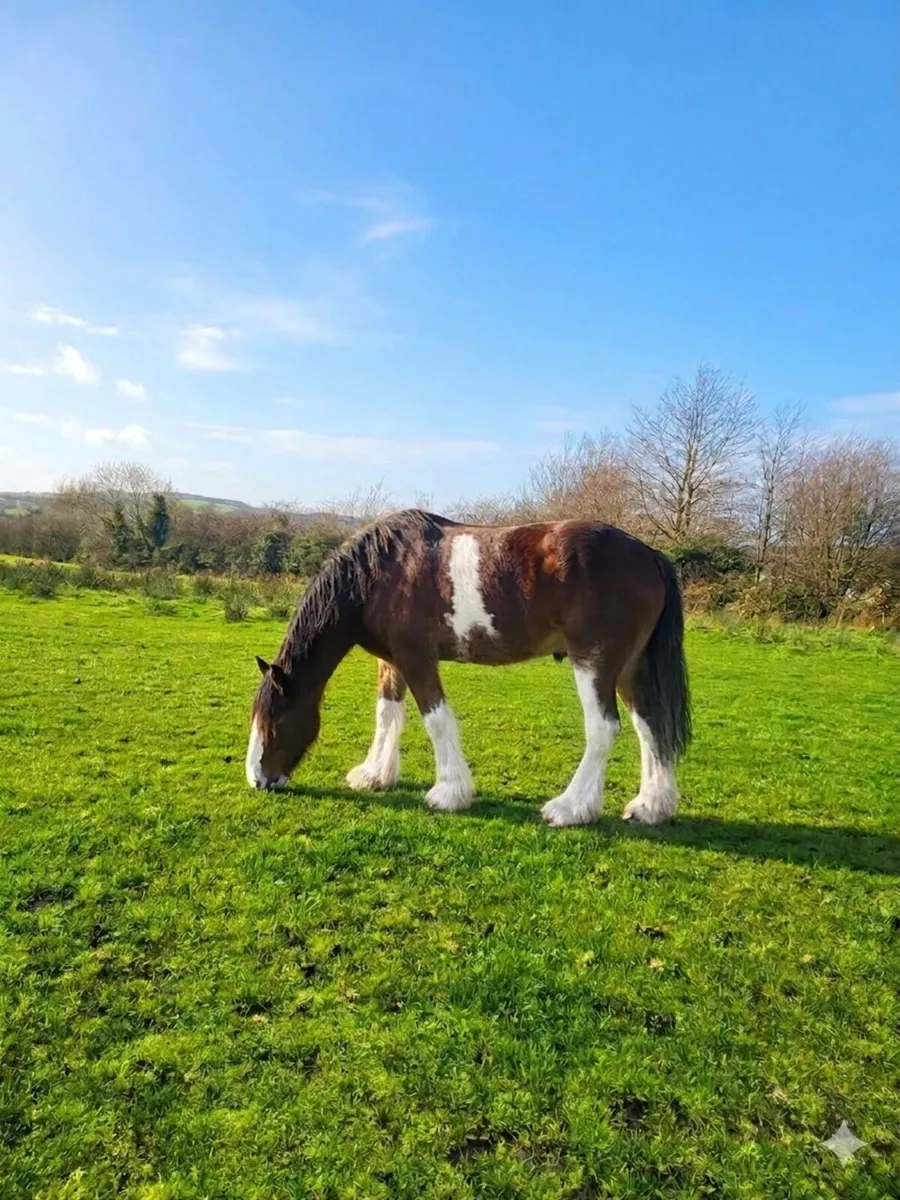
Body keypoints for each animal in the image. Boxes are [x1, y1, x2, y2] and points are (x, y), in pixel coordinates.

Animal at [245, 509, 691, 827]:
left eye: (274, 723)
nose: (257, 780)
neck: (379, 572)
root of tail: (650, 556)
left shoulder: (416, 658)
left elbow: (436, 720)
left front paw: (449, 793)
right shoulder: (391, 661)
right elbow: (388, 714)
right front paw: (374, 775)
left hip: (594, 663)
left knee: (604, 729)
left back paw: (570, 808)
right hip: (629, 668)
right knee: (649, 725)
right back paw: (651, 806)